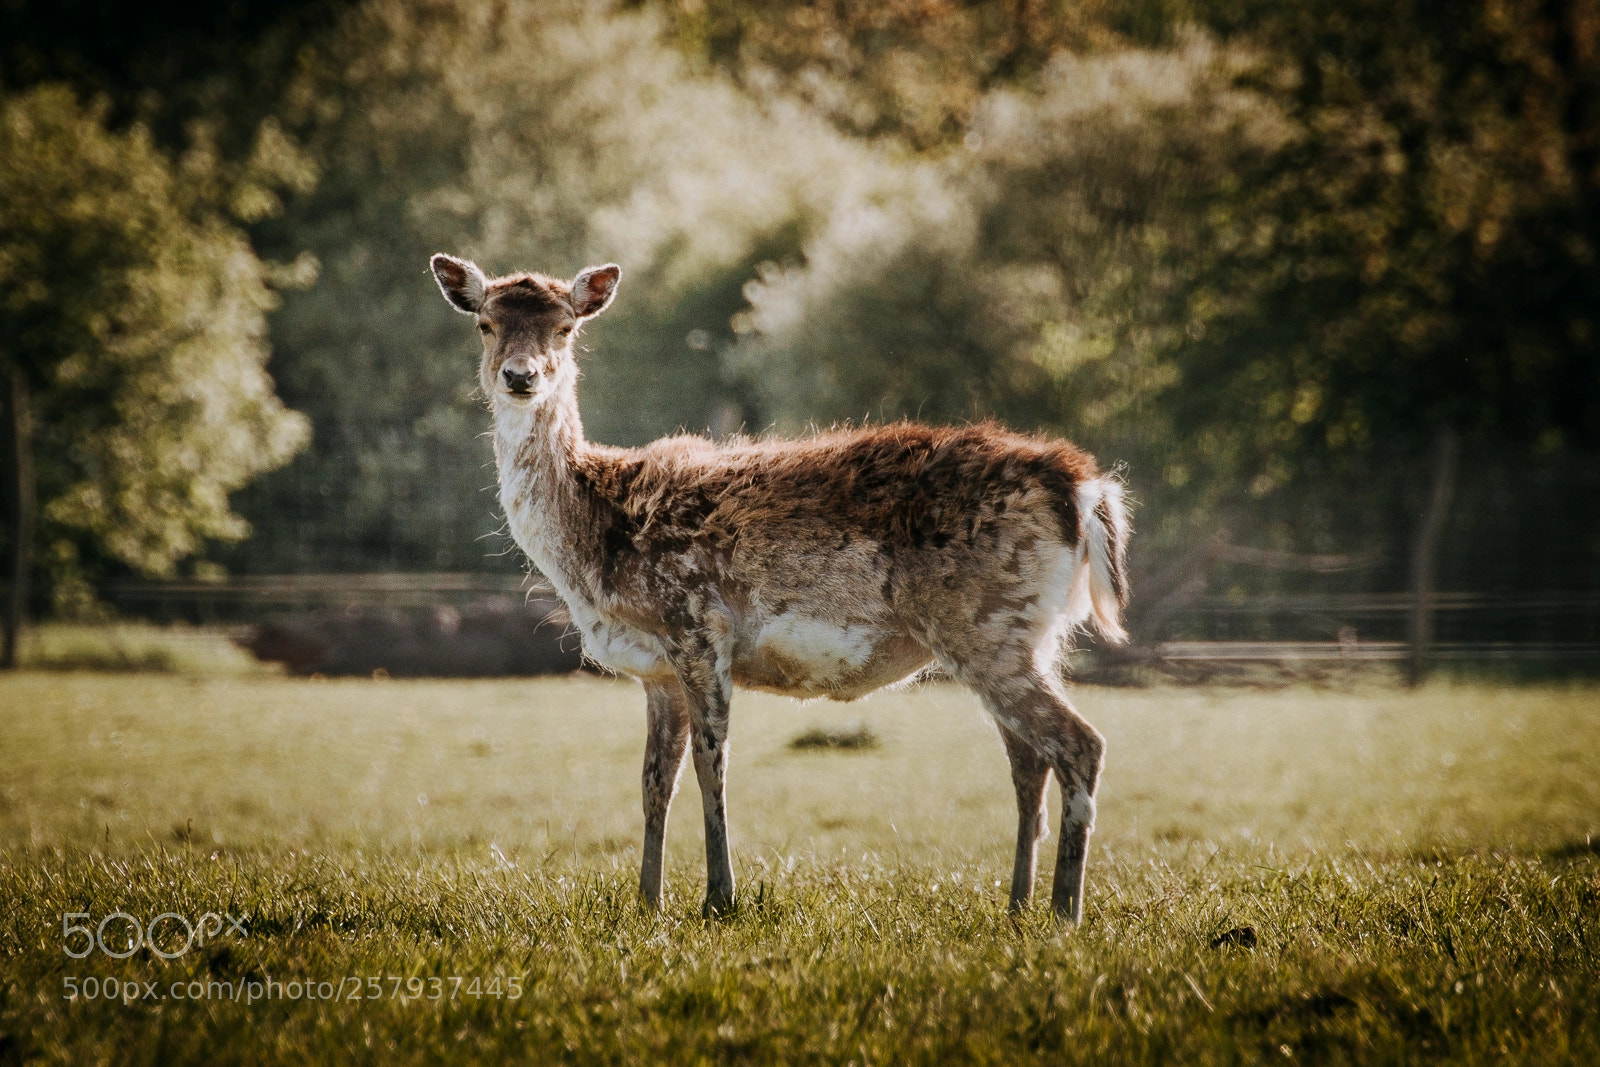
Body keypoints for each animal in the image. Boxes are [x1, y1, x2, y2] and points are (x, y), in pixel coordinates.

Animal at [430, 253, 1131, 922]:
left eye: (566, 327)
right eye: (485, 323)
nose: (520, 376)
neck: (595, 544)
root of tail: (1086, 490)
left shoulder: (697, 622)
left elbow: (712, 763)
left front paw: (719, 898)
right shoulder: (655, 669)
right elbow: (655, 780)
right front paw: (647, 901)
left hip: (985, 624)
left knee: (1080, 744)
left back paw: (1063, 911)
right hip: (1028, 633)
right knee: (1029, 760)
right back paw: (1017, 906)